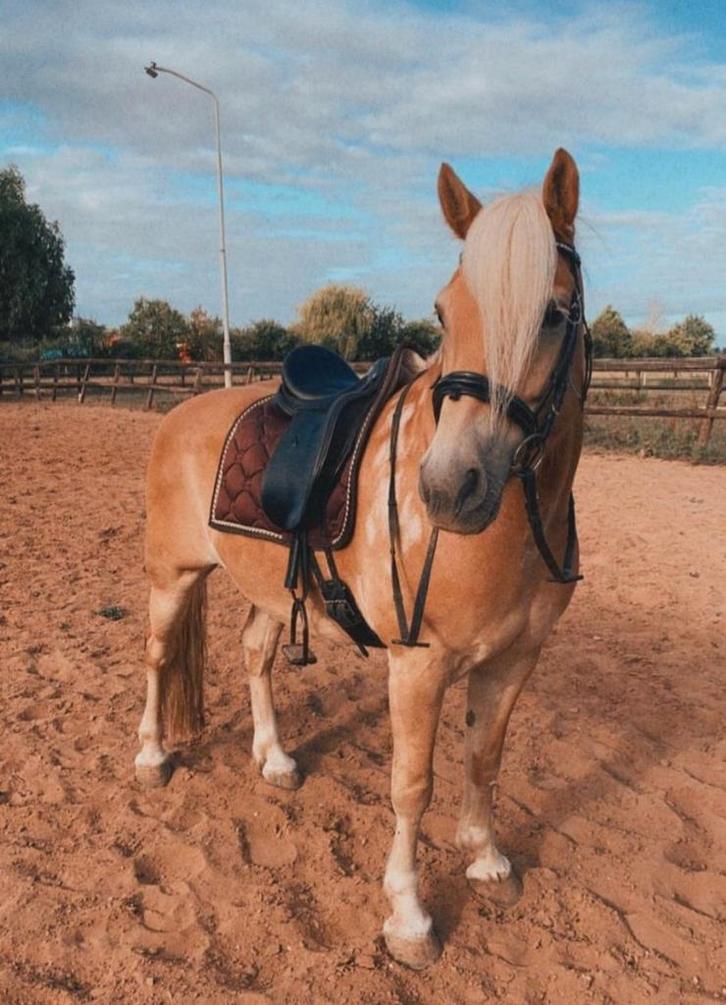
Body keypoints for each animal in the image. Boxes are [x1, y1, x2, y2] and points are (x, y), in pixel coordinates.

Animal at [136, 148, 588, 970]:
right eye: (443, 312)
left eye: (553, 312)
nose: (447, 488)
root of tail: (181, 412)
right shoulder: (419, 664)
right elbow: (412, 785)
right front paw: (408, 917)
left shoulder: (516, 657)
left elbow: (485, 758)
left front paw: (487, 860)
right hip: (172, 577)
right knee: (156, 656)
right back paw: (152, 758)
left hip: (269, 589)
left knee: (254, 653)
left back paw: (275, 759)